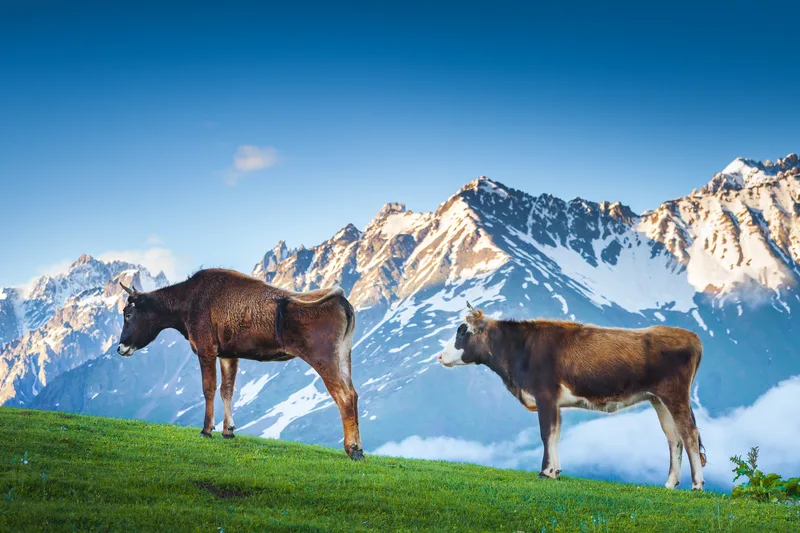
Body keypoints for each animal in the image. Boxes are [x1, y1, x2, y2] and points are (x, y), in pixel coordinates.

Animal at [116, 268, 364, 460]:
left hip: (323, 357)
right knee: (353, 393)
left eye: (128, 313)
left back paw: (352, 449)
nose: (120, 347)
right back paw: (359, 449)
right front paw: (228, 431)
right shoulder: (228, 354)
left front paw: (206, 430)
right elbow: (227, 390)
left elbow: (208, 389)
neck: (185, 307)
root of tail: (343, 301)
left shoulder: (206, 348)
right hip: (344, 355)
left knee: (344, 395)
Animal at [438, 303, 706, 490]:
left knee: (689, 434)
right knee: (674, 437)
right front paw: (555, 472)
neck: (518, 352)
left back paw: (697, 485)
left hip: (675, 395)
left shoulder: (545, 395)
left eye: (462, 332)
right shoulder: (554, 402)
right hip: (658, 399)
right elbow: (555, 435)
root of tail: (691, 337)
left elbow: (546, 433)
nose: (440, 356)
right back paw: (670, 484)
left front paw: (545, 472)